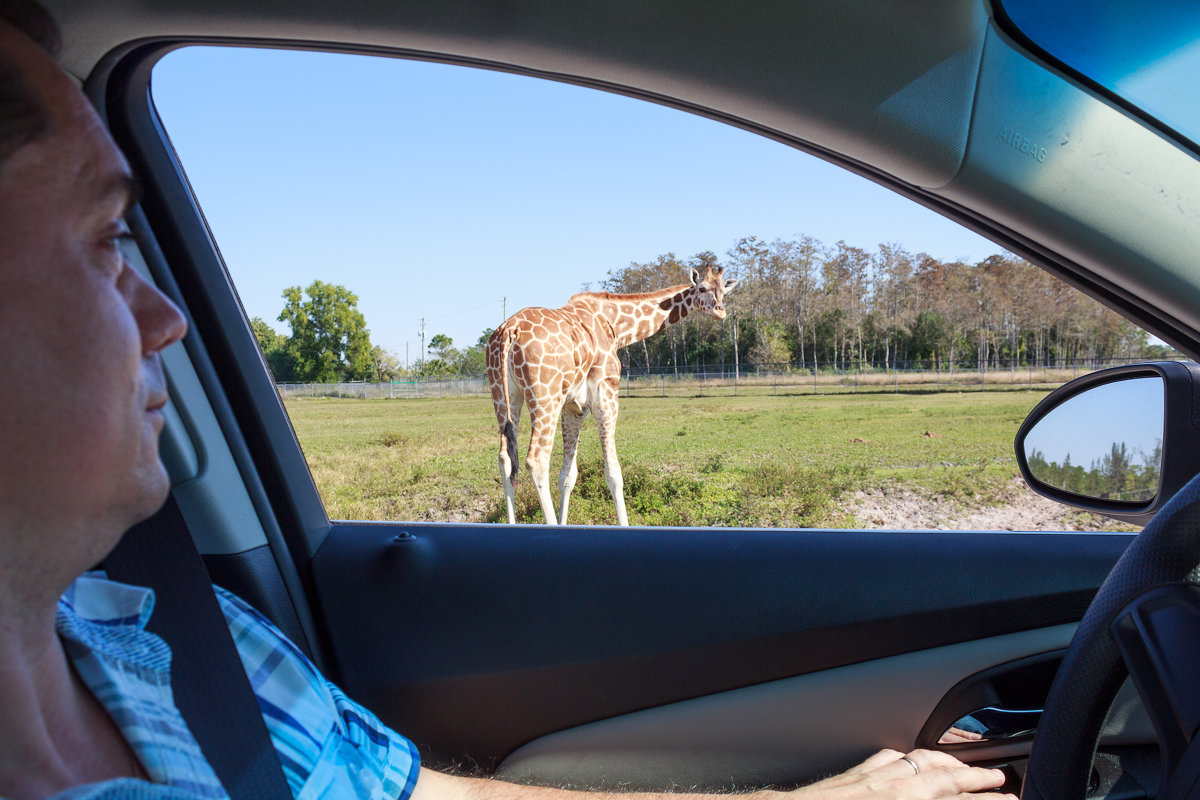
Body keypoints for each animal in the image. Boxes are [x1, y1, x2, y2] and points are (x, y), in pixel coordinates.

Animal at [484, 263, 729, 525]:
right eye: (701, 288)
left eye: (724, 291)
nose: (720, 312)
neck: (613, 326)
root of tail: (510, 330)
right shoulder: (607, 394)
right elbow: (614, 474)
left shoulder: (573, 407)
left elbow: (567, 476)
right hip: (544, 397)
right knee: (537, 460)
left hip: (504, 394)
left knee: (505, 458)